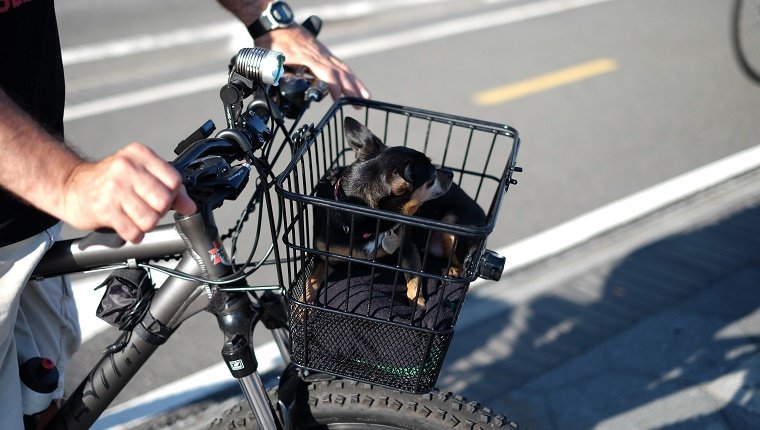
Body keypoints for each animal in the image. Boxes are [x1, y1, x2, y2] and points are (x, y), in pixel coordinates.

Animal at [306, 116, 484, 308]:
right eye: (432, 177)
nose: (451, 173)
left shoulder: (408, 248)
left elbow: (414, 281)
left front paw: (417, 304)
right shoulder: (324, 257)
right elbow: (310, 283)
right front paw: (301, 307)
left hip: (451, 223)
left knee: (458, 256)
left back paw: (453, 269)